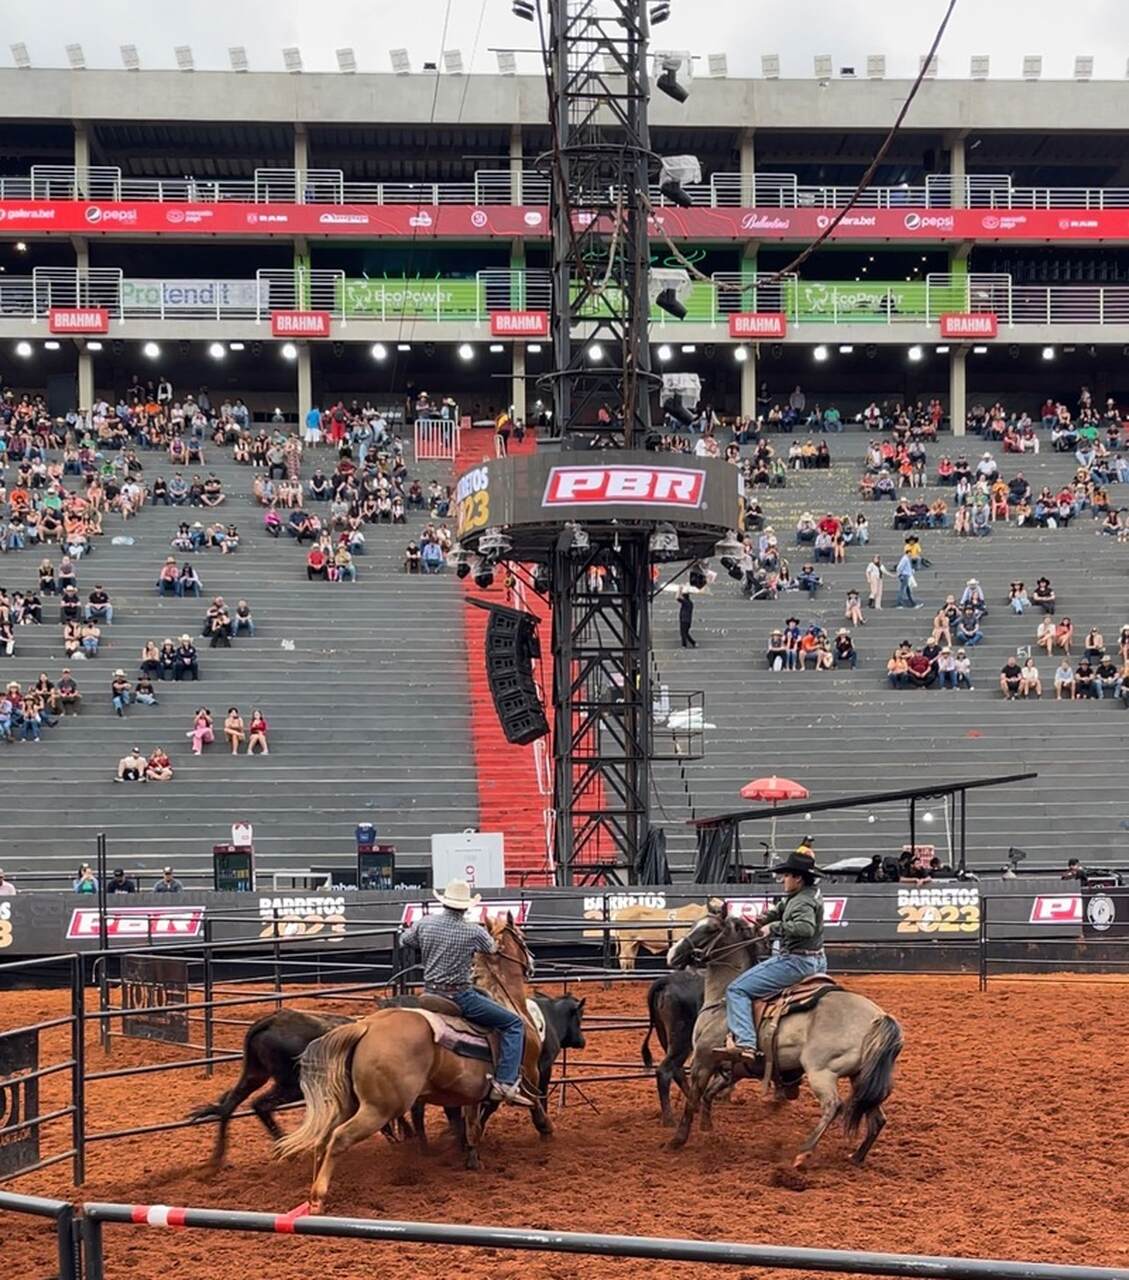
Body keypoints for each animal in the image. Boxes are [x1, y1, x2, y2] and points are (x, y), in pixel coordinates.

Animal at [275, 916, 542, 1213]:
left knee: (324, 1138)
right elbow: (528, 1101)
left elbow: (472, 1121)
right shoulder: (528, 1071)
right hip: (380, 1108)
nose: (532, 961)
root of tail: (366, 1027)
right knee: (340, 1138)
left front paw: (470, 1153)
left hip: (350, 1103)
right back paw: (318, 1197)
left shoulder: (470, 1092)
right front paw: (546, 1129)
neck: (505, 999)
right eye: (521, 937)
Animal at [665, 901, 901, 1172]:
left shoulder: (703, 1060)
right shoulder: (732, 1069)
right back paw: (857, 1156)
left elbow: (692, 1099)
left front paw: (678, 1140)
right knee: (877, 1118)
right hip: (861, 1076)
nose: (671, 954)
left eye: (710, 929)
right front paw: (708, 1131)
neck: (722, 1002)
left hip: (821, 1071)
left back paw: (803, 1153)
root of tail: (880, 1017)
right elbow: (708, 1095)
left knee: (834, 1106)